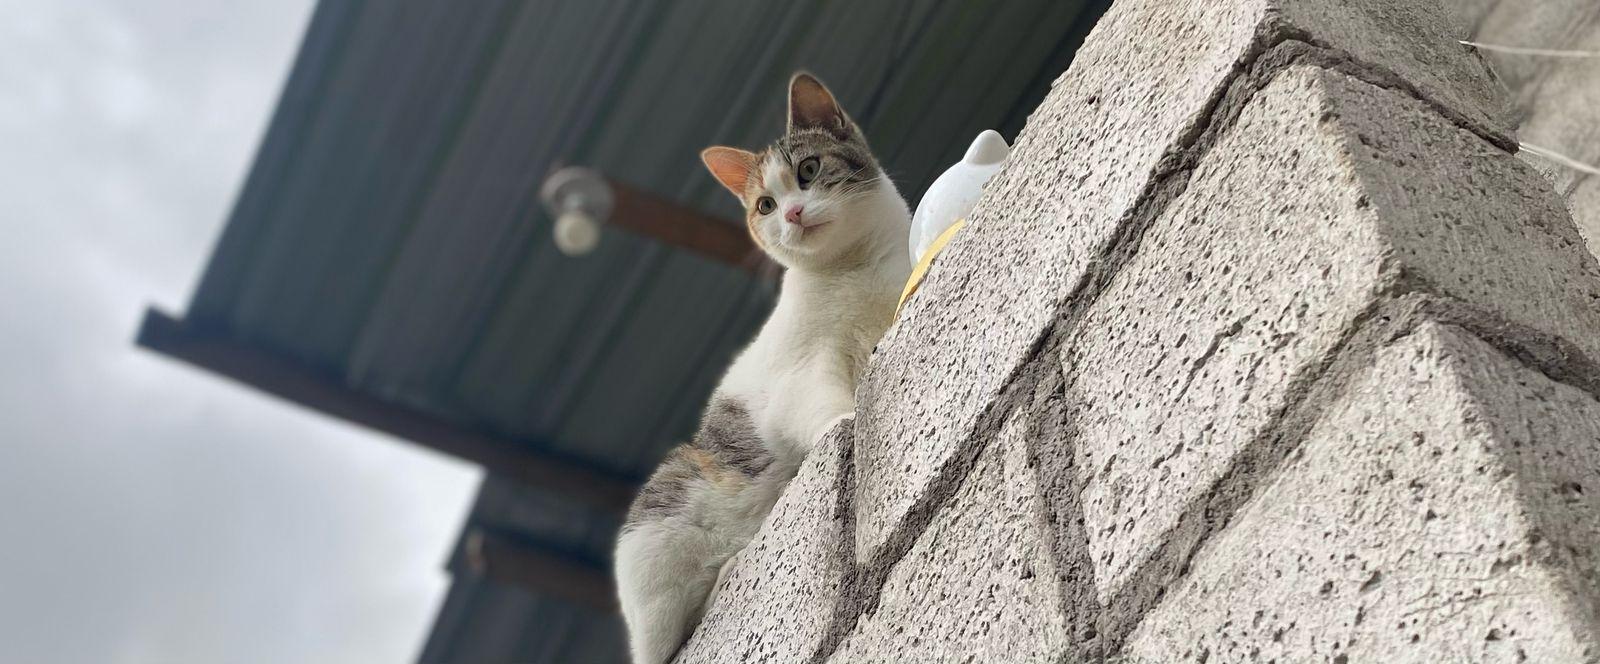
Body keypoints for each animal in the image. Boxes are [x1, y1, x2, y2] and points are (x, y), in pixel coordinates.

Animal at [611, 72, 915, 664]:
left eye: (809, 171)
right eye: (766, 205)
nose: (792, 214)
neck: (857, 267)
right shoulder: (798, 377)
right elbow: (823, 406)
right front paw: (843, 421)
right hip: (662, 520)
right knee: (676, 637)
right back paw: (726, 574)